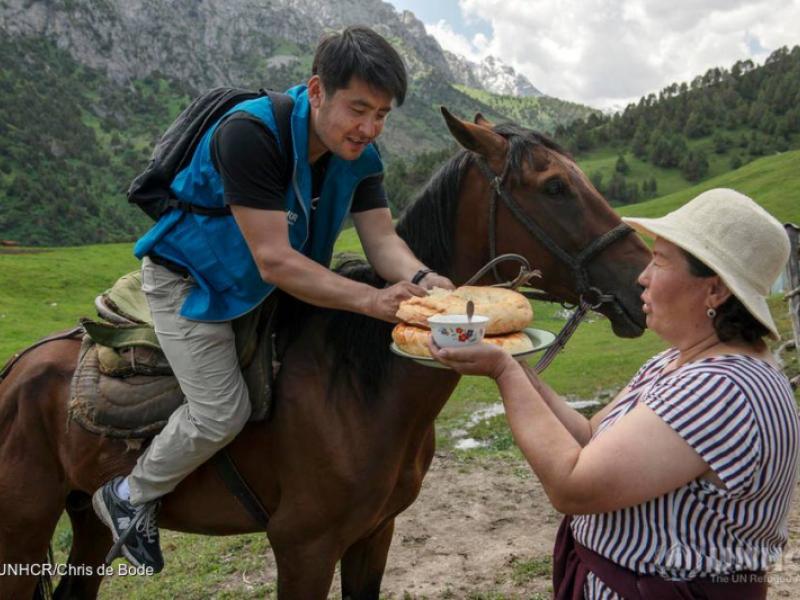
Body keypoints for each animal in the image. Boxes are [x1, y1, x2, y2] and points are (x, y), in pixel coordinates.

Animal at [0, 110, 648, 596]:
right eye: (555, 187)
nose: (643, 283)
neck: (359, 386)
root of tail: (18, 369)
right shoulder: (303, 548)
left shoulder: (374, 535)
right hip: (22, 532)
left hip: (83, 527)